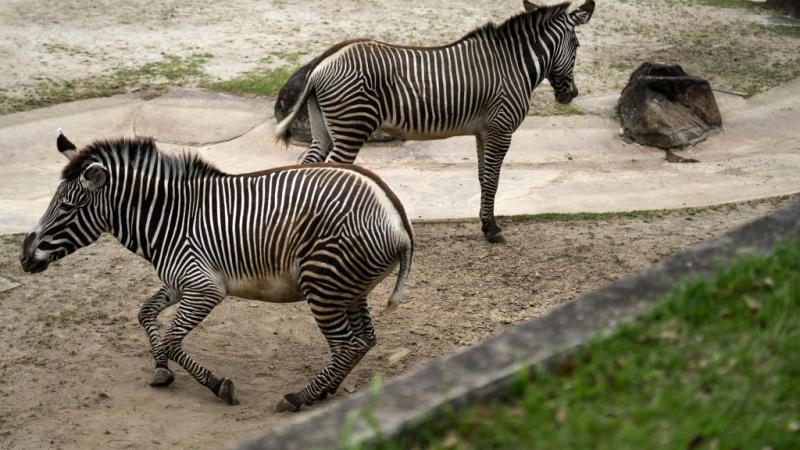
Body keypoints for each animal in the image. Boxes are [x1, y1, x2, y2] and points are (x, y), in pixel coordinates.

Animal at [20, 131, 414, 412]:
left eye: (66, 207)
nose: (23, 257)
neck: (168, 219)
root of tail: (396, 216)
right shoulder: (179, 283)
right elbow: (145, 314)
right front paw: (161, 369)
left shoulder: (203, 287)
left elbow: (173, 340)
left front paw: (217, 385)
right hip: (348, 287)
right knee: (363, 340)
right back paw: (326, 390)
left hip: (323, 285)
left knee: (347, 344)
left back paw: (299, 397)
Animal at [276, 0, 595, 243]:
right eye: (577, 44)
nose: (571, 95)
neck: (513, 65)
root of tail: (321, 63)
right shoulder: (501, 129)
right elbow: (493, 178)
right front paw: (492, 230)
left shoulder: (484, 131)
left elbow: (483, 177)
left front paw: (485, 223)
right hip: (352, 127)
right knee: (332, 173)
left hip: (323, 130)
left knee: (307, 168)